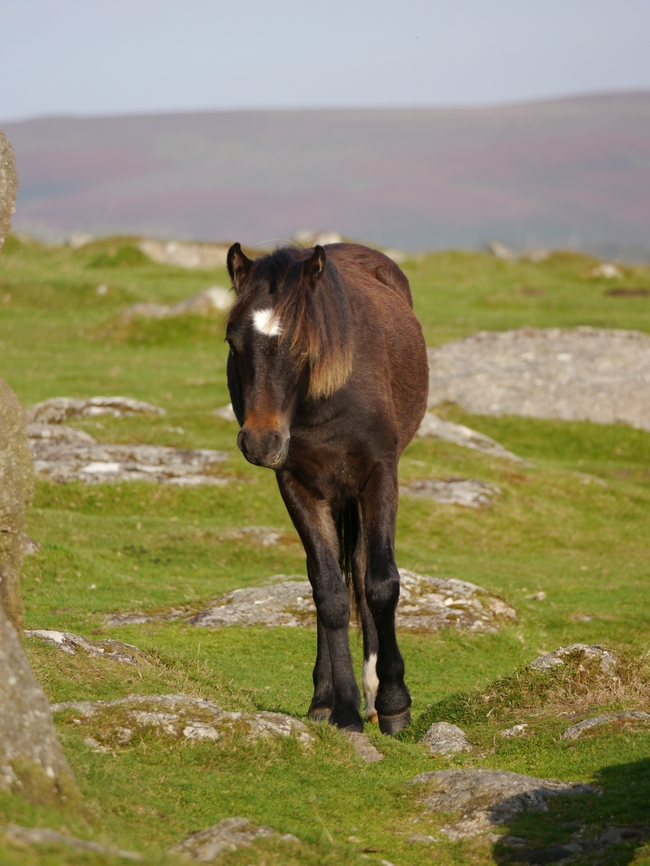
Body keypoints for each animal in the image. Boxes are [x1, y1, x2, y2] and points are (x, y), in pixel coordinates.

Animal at [225, 242, 428, 734]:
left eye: (301, 344)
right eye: (231, 343)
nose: (260, 441)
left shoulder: (380, 476)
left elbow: (380, 584)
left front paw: (394, 703)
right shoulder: (297, 484)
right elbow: (329, 593)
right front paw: (344, 709)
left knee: (362, 566)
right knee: (330, 575)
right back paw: (324, 699)